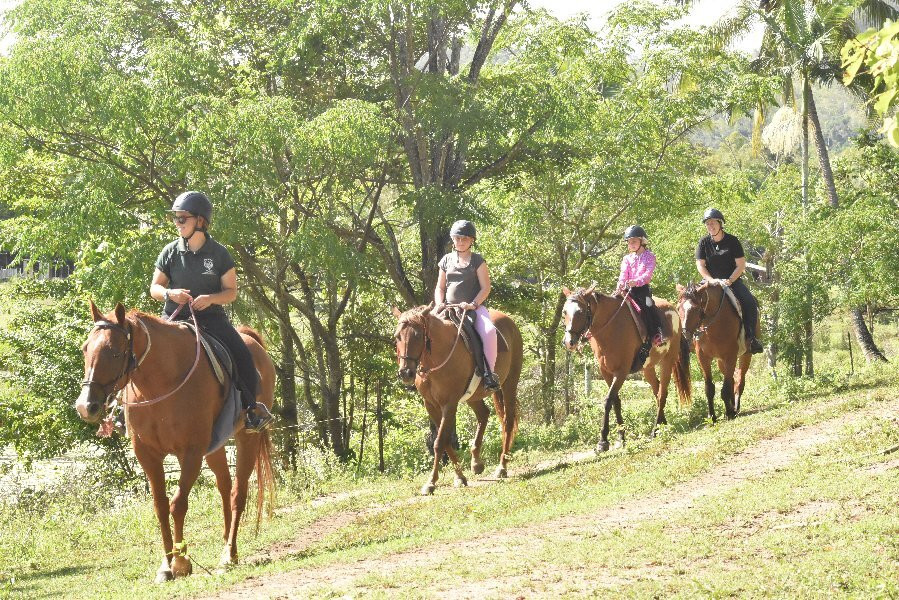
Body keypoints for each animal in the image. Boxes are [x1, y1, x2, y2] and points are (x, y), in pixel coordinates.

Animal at [74, 302, 274, 584]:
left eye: (114, 352)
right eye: (85, 349)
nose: (85, 406)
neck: (160, 384)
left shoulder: (190, 453)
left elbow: (178, 504)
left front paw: (181, 562)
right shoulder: (147, 454)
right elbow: (160, 507)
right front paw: (166, 565)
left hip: (248, 438)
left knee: (238, 492)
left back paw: (229, 554)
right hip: (215, 445)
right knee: (224, 487)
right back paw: (224, 544)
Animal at [390, 302, 524, 494]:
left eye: (418, 335)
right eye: (397, 336)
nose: (406, 373)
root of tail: (509, 321)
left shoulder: (449, 404)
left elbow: (439, 442)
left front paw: (431, 482)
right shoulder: (431, 405)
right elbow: (444, 440)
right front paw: (460, 477)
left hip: (509, 384)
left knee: (508, 421)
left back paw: (502, 467)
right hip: (473, 396)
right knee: (483, 414)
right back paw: (476, 463)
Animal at [560, 288, 692, 452]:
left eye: (580, 311)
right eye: (564, 311)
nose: (569, 342)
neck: (610, 327)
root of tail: (673, 309)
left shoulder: (621, 372)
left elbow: (608, 400)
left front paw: (603, 441)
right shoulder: (606, 372)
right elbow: (616, 401)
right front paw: (621, 438)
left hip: (667, 361)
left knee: (662, 393)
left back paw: (655, 430)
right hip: (647, 368)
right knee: (657, 390)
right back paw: (662, 424)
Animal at [676, 284, 760, 420]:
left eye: (695, 309)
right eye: (679, 308)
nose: (684, 335)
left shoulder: (730, 356)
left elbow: (725, 388)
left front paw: (729, 413)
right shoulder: (703, 358)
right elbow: (709, 388)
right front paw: (712, 416)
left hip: (745, 355)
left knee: (739, 380)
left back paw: (735, 407)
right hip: (721, 362)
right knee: (733, 379)